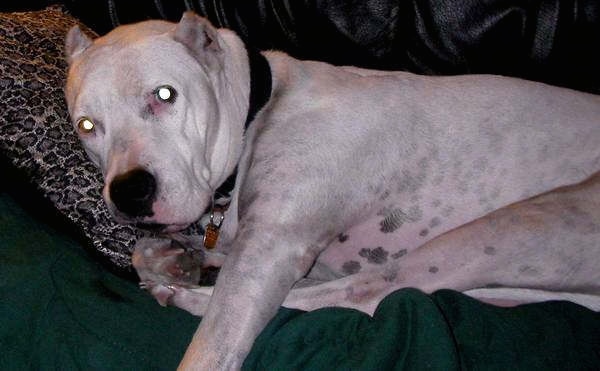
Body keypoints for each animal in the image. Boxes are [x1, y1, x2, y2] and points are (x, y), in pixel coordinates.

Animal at [65, 12, 600, 371]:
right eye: (87, 125)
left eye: (165, 95)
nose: (129, 193)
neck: (261, 111)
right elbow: (143, 249)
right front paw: (174, 256)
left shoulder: (272, 246)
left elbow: (215, 340)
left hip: (520, 224)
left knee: (370, 292)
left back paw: (183, 293)